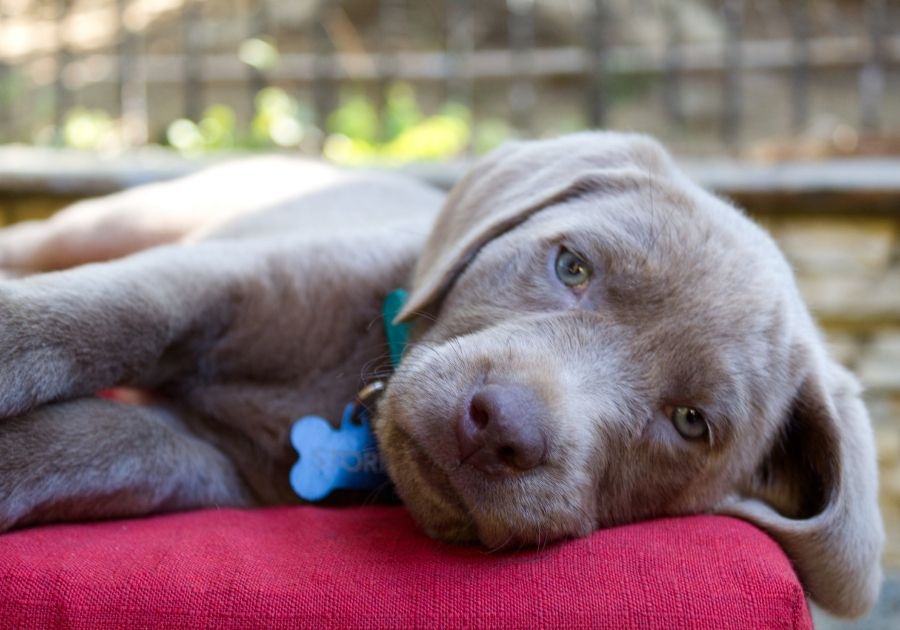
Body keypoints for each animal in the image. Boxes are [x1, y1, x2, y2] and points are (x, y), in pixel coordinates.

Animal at [0, 131, 884, 620]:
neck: (346, 390)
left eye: (692, 421)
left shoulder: (213, 461)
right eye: (571, 265)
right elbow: (112, 310)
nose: (501, 428)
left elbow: (84, 446)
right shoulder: (226, 278)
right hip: (121, 218)